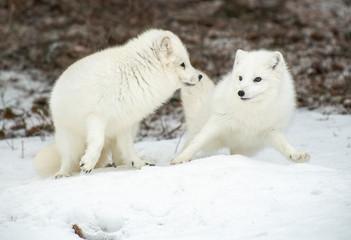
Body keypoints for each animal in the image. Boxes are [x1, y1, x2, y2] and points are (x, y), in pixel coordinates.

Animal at [34, 29, 204, 177]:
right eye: (183, 64)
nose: (200, 76)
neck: (135, 74)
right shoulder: (96, 117)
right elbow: (97, 142)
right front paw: (88, 163)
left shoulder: (126, 123)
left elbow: (129, 148)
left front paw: (139, 163)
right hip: (69, 138)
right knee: (67, 159)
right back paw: (62, 173)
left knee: (118, 155)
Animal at [173, 48, 310, 165]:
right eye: (240, 78)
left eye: (258, 79)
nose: (240, 92)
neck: (251, 110)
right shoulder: (218, 120)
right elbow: (197, 142)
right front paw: (181, 159)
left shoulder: (272, 130)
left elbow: (285, 144)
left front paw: (296, 155)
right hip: (207, 140)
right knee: (191, 141)